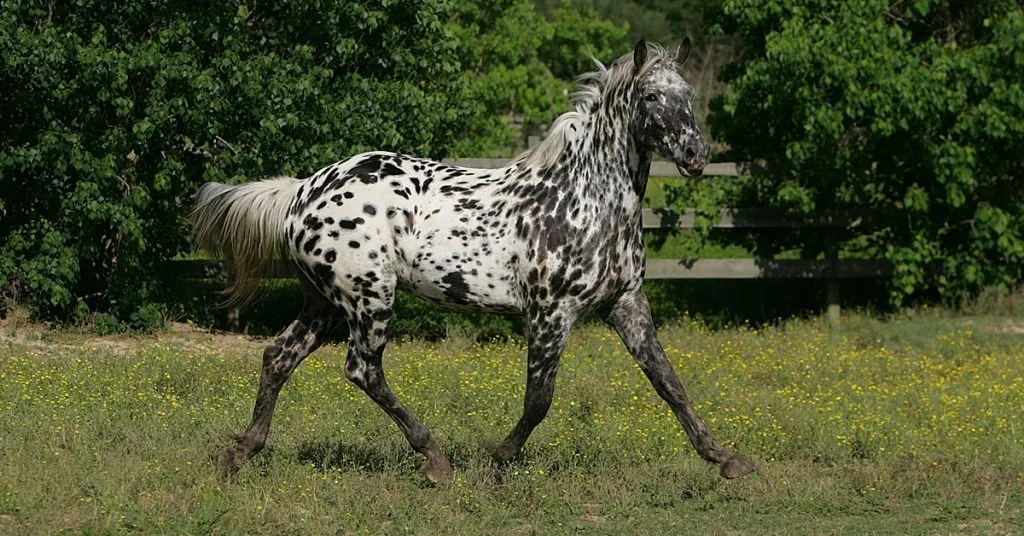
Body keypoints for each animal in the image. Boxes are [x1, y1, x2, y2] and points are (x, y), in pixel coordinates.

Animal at [191, 39, 756, 482]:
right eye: (651, 95)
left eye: (689, 95)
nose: (697, 155)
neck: (585, 200)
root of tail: (302, 191)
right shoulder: (550, 314)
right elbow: (539, 399)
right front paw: (497, 458)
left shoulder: (626, 304)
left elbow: (669, 384)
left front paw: (727, 459)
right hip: (370, 297)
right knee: (362, 369)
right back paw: (434, 458)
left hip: (326, 302)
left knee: (278, 357)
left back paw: (239, 453)